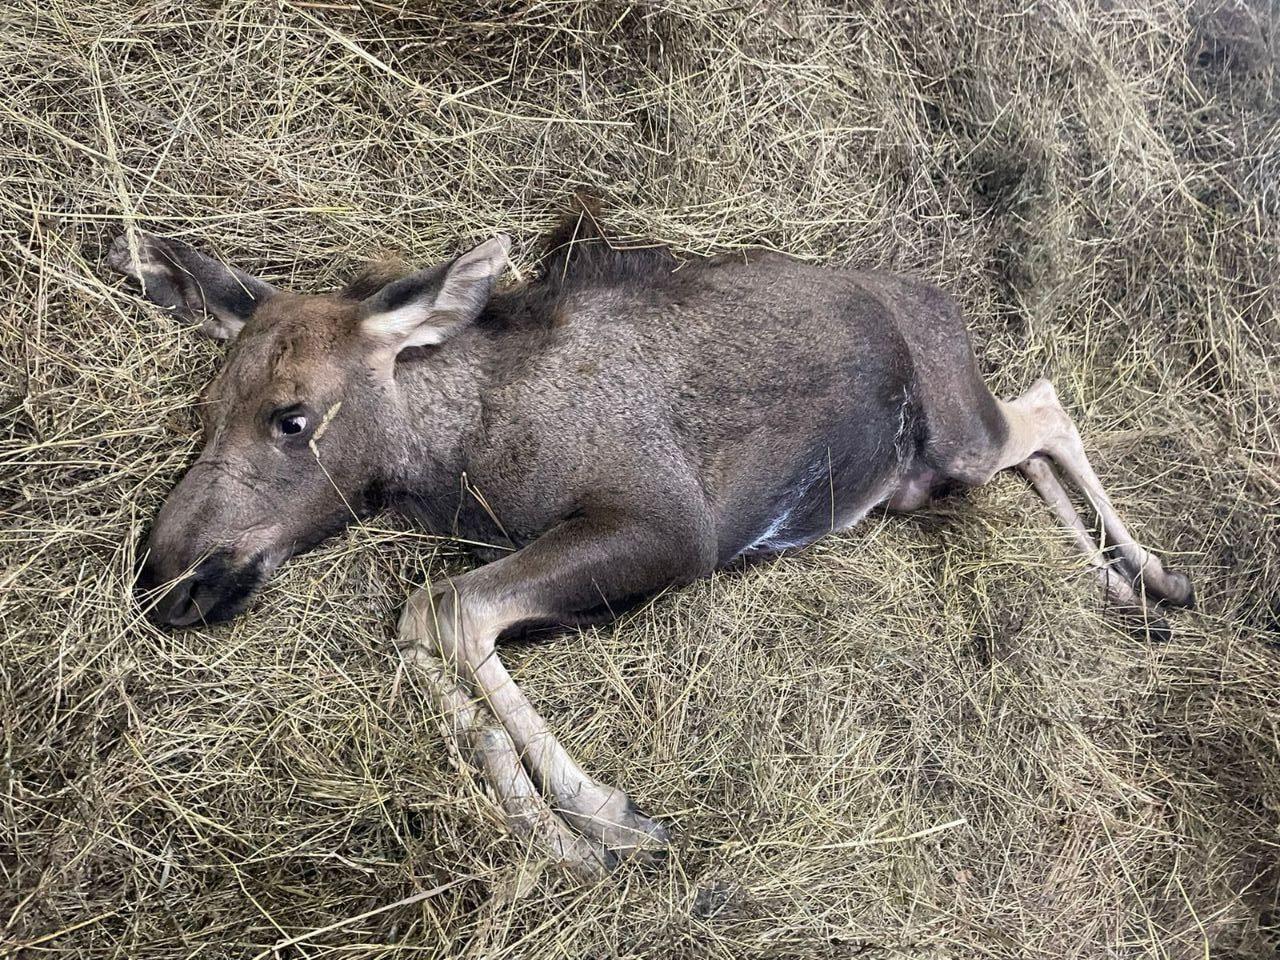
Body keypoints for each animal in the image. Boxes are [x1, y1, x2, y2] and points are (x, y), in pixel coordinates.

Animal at [107, 213, 1187, 885]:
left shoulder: (666, 524)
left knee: (1047, 403)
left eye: (292, 418)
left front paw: (595, 820)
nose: (166, 575)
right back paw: (1120, 583)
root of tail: (941, 298)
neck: (456, 460)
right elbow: (428, 621)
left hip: (957, 429)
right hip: (924, 480)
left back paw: (1152, 575)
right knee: (1034, 435)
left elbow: (449, 607)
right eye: (204, 408)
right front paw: (554, 826)